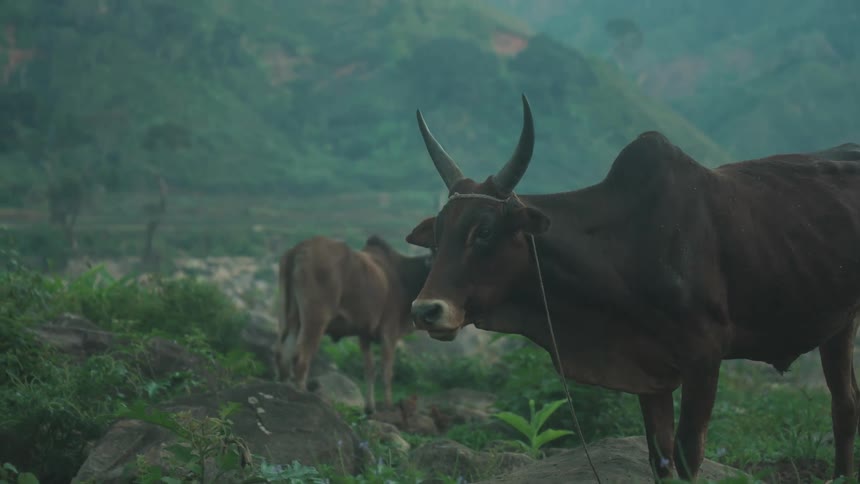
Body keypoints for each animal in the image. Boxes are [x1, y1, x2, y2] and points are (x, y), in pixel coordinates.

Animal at [272, 234, 432, 414]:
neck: (404, 276)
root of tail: (299, 250)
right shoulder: (389, 332)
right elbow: (387, 371)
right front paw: (388, 405)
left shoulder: (365, 334)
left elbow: (370, 369)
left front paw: (370, 407)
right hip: (316, 317)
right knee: (300, 357)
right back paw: (302, 394)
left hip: (288, 316)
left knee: (282, 353)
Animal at [404, 94, 860, 481]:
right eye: (438, 235)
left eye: (483, 231)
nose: (425, 310)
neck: (625, 245)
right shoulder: (649, 370)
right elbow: (659, 458)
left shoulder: (705, 357)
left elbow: (687, 456)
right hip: (837, 325)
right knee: (845, 403)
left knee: (844, 404)